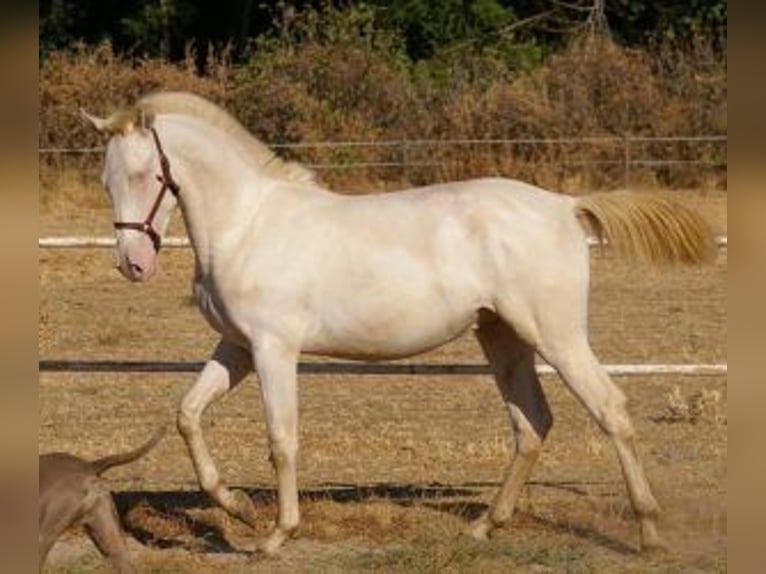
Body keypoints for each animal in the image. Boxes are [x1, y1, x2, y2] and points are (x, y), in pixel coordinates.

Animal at [82, 91, 714, 555]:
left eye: (145, 174)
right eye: (107, 180)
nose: (133, 265)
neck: (248, 223)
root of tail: (563, 205)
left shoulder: (272, 349)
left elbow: (281, 439)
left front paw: (276, 536)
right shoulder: (235, 347)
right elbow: (188, 416)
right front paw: (235, 505)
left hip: (555, 336)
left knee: (610, 411)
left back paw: (649, 534)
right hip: (503, 337)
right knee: (532, 423)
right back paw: (485, 527)